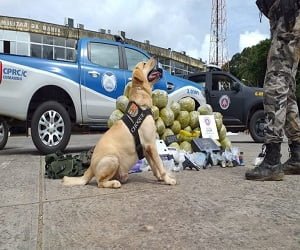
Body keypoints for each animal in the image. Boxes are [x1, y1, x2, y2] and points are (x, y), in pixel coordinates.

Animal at [62, 58, 176, 188]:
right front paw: (168, 179)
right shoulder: (150, 144)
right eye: (144, 63)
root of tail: (89, 169)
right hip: (112, 158)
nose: (155, 58)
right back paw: (114, 183)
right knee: (100, 182)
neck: (141, 105)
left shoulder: (147, 149)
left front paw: (160, 178)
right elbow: (160, 165)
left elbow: (154, 167)